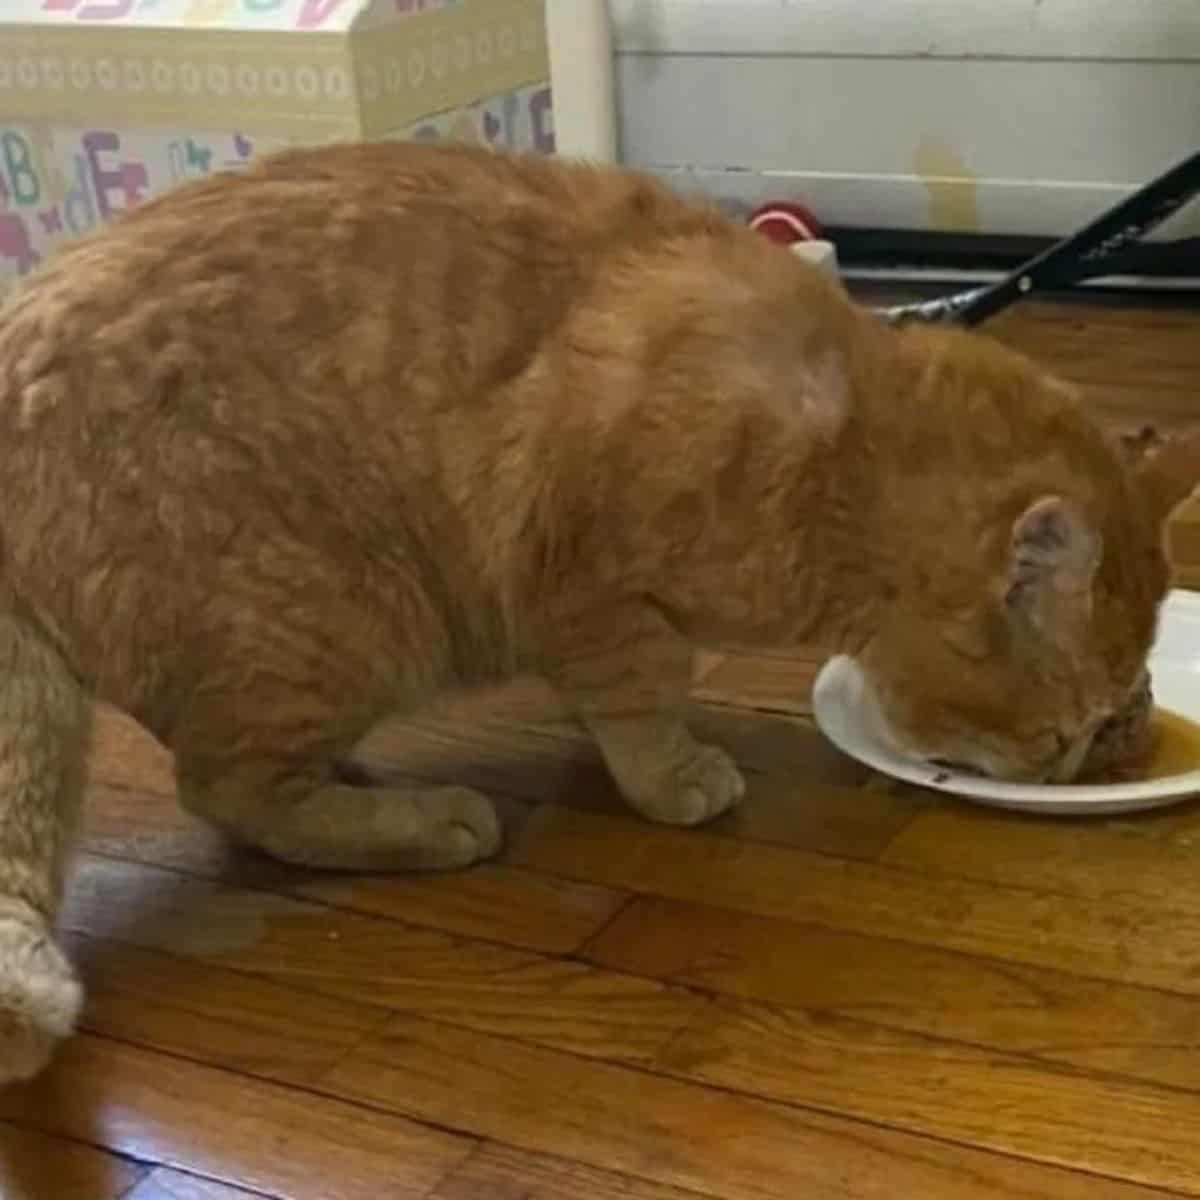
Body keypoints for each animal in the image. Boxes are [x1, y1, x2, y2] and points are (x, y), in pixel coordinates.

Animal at [0, 138, 1190, 1080]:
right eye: (1059, 730)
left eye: (1106, 720)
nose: (1069, 771)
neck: (843, 448)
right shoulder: (591, 584)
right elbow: (641, 697)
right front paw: (675, 779)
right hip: (339, 620)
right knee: (229, 791)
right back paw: (425, 818)